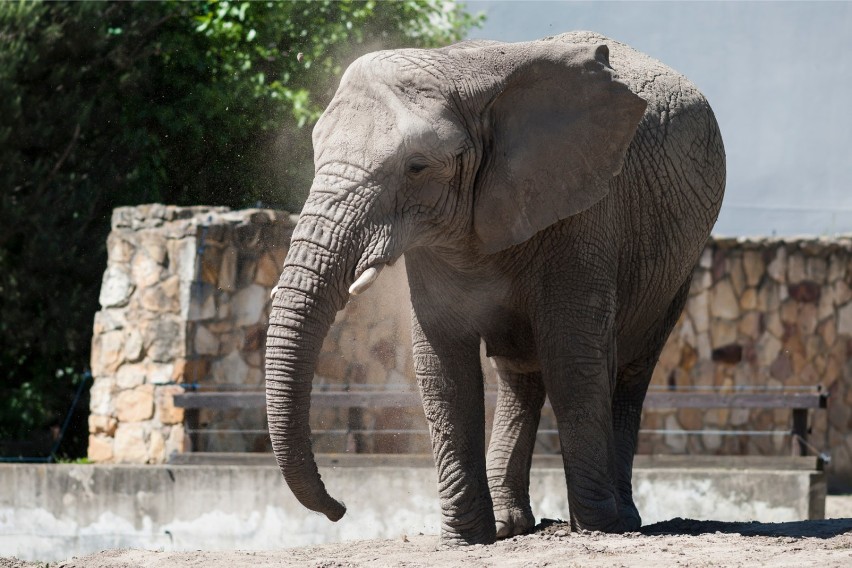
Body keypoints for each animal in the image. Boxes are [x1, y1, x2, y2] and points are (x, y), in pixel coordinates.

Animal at [266, 32, 724, 544]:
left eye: (417, 167)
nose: (340, 509)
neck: (465, 71)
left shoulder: (584, 208)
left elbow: (572, 357)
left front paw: (597, 528)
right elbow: (444, 367)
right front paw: (466, 540)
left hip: (678, 263)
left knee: (629, 369)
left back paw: (622, 521)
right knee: (519, 372)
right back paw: (510, 526)